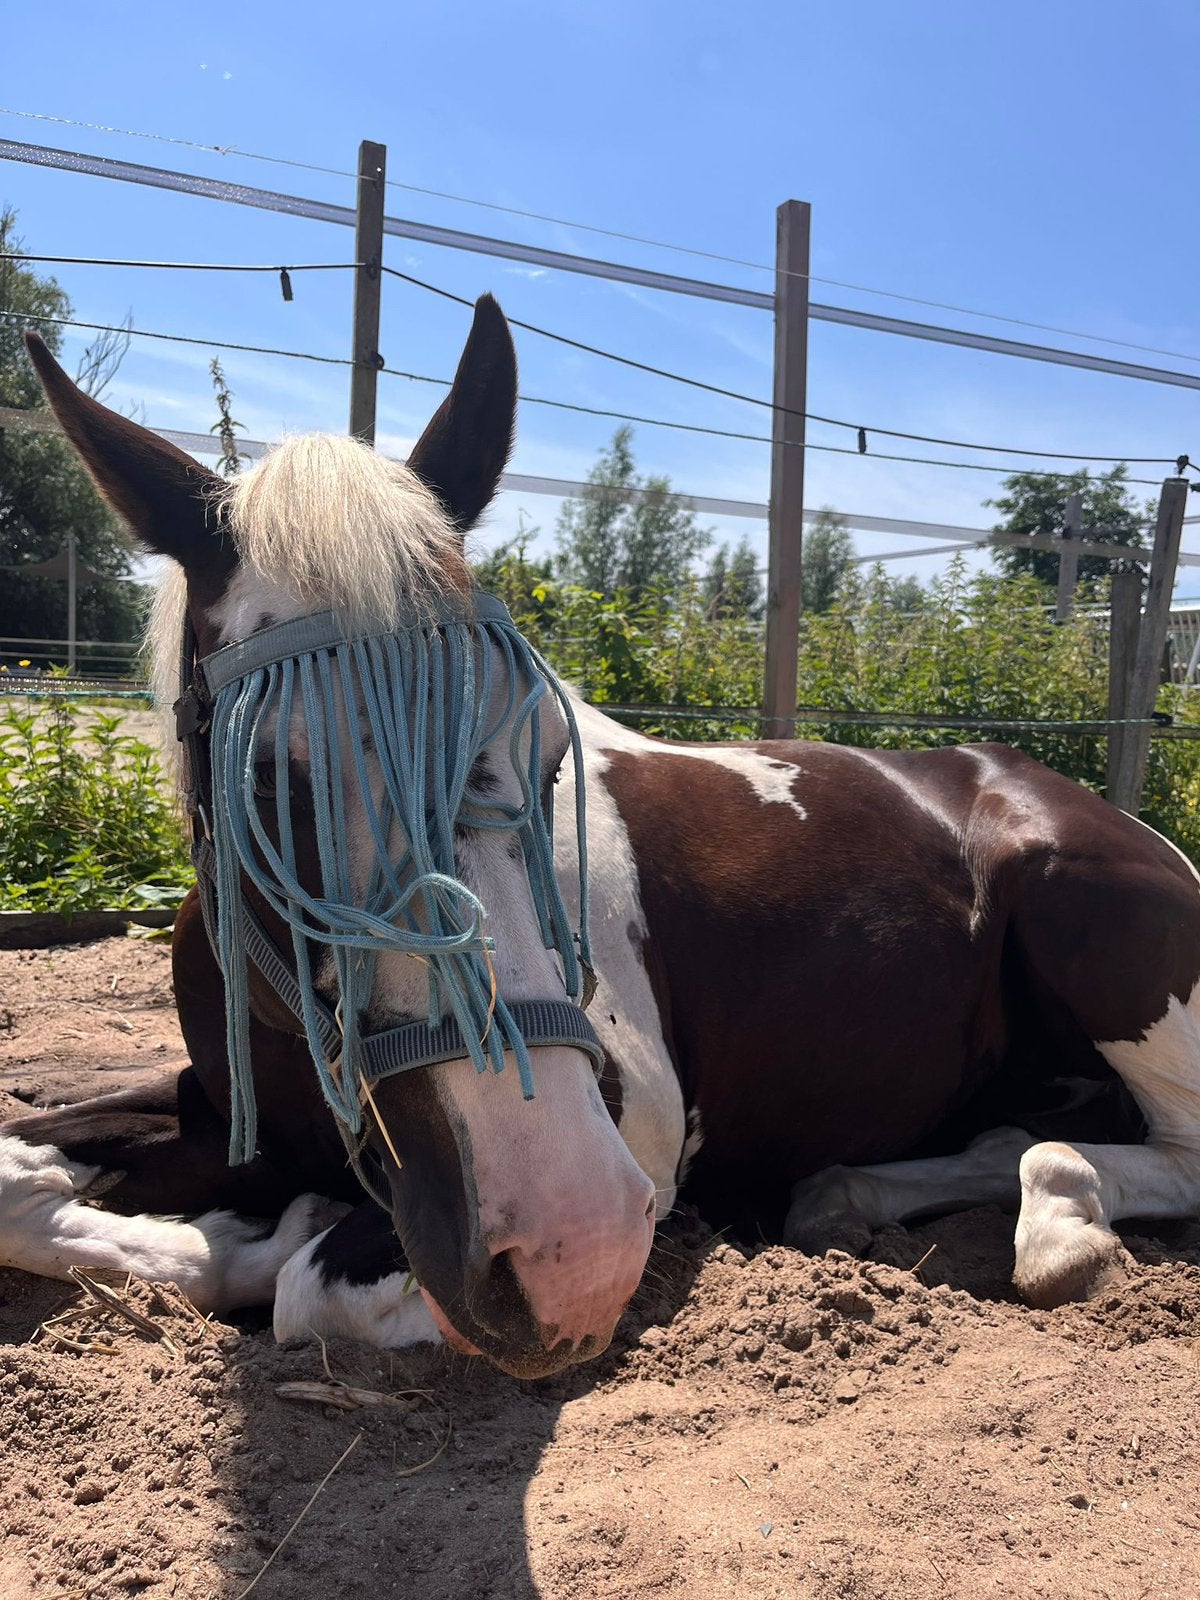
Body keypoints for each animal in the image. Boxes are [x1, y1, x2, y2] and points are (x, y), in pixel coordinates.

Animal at [3, 302, 1200, 1382]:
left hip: (1086, 920)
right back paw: (848, 1197)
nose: (567, 1247)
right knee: (1004, 1141)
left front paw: (264, 1238)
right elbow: (21, 1172)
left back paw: (1064, 1219)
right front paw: (204, 1232)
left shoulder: (634, 1141)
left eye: (545, 753)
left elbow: (304, 1282)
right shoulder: (215, 1110)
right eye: (267, 780)